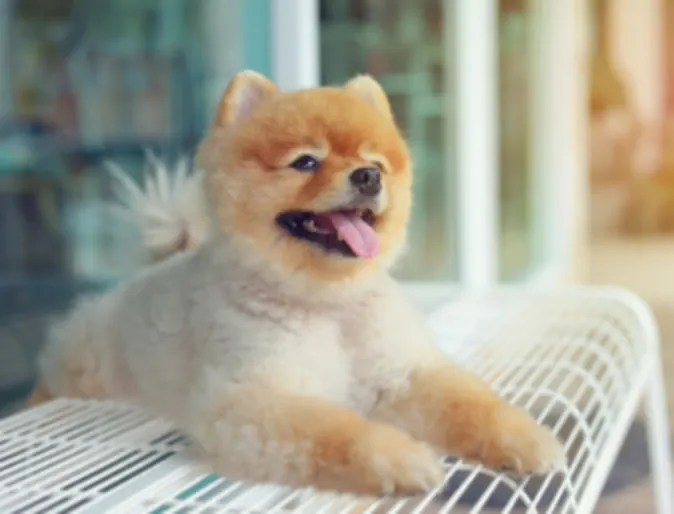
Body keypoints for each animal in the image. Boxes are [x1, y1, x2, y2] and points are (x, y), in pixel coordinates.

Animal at [27, 70, 560, 494]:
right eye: (306, 161)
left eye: (376, 163)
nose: (367, 177)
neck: (329, 305)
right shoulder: (254, 398)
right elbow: (337, 430)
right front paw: (397, 457)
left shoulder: (404, 375)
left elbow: (472, 405)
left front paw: (523, 437)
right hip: (84, 367)